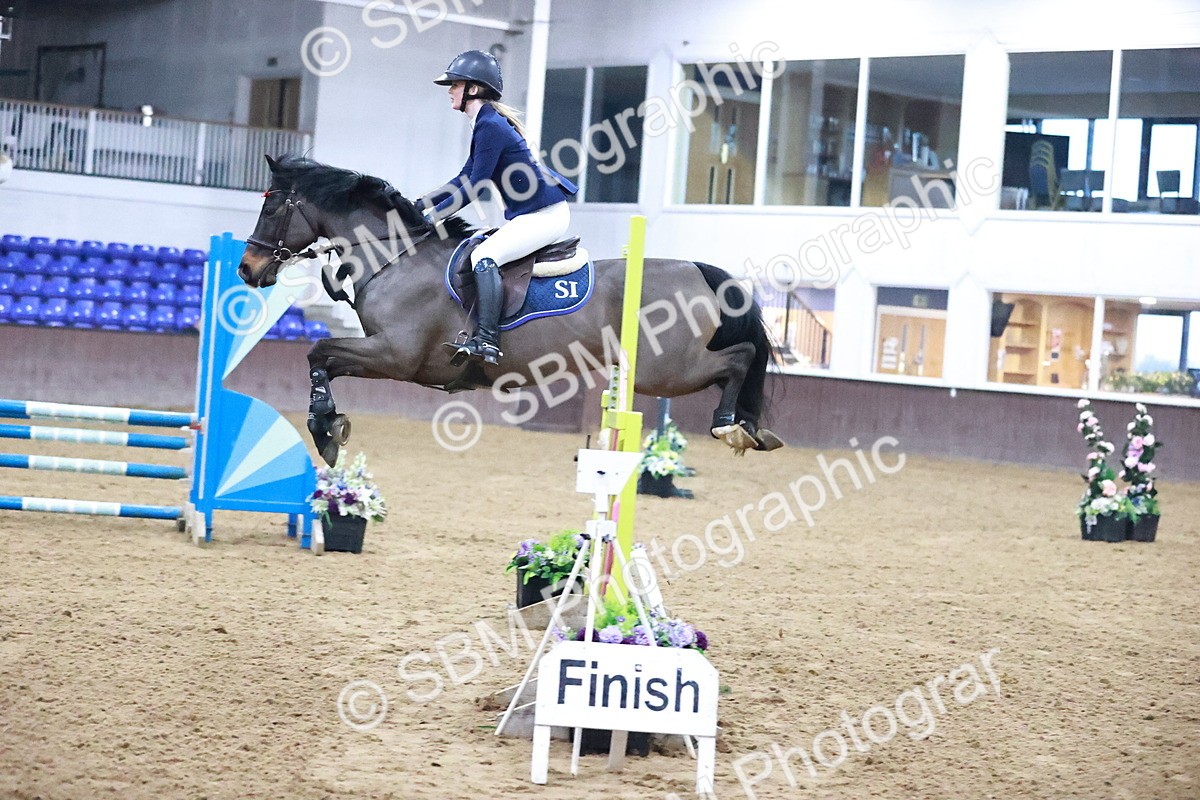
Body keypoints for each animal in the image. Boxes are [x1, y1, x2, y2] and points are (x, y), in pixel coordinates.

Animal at [237, 155, 784, 466]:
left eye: (271, 206)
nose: (247, 268)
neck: (397, 254)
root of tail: (697, 269)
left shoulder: (396, 356)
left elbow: (318, 351)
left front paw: (325, 427)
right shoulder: (386, 354)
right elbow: (322, 358)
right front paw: (328, 423)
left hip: (664, 370)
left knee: (737, 358)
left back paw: (731, 425)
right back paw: (748, 428)